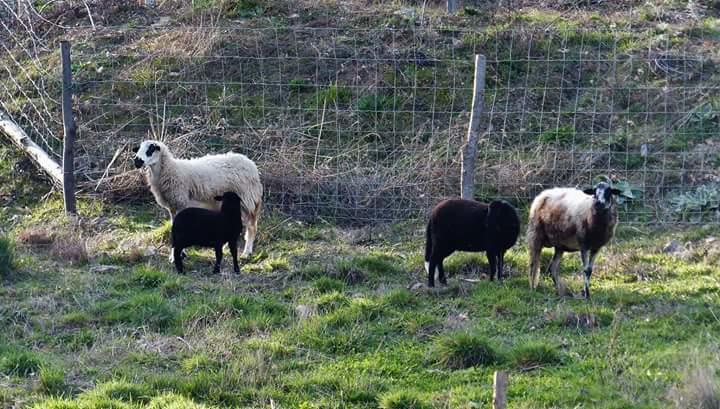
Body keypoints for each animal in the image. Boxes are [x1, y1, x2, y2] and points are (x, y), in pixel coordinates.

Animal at [134, 140, 262, 258]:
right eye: (138, 148)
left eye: (150, 149)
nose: (137, 161)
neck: (170, 169)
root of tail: (251, 165)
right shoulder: (173, 207)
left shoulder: (180, 203)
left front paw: (177, 255)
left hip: (247, 200)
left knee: (251, 227)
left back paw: (246, 253)